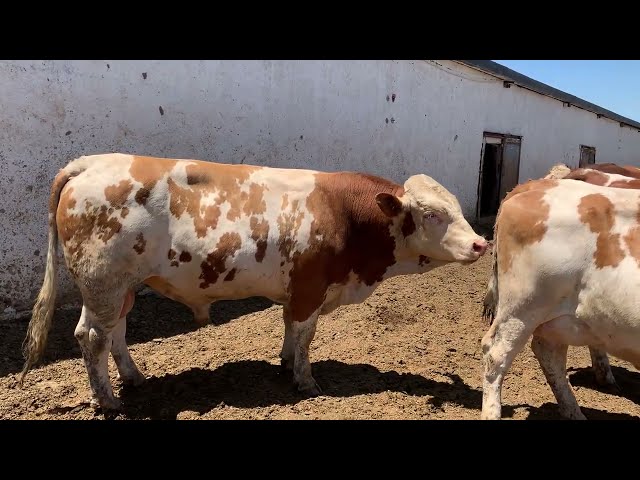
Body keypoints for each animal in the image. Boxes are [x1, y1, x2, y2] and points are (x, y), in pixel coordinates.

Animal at [20, 153, 489, 412]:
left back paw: (132, 378)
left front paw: (284, 361)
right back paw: (108, 400)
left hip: (121, 287)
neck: (346, 213)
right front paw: (305, 380)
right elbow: (305, 334)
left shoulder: (297, 288)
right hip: (104, 281)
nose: (481, 243)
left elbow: (290, 328)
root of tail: (92, 162)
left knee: (114, 332)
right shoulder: (310, 286)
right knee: (92, 336)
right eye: (433, 214)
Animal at [481, 176, 640, 420]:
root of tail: (536, 184)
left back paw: (574, 412)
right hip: (523, 306)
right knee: (496, 354)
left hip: (559, 319)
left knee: (549, 354)